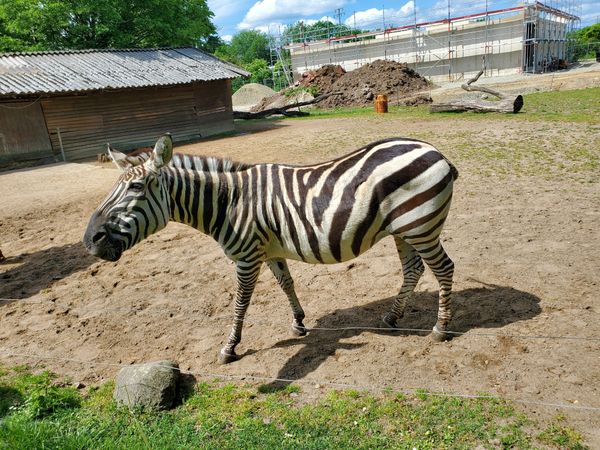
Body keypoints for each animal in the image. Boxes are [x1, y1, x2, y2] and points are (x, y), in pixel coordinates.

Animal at [84, 134, 458, 362]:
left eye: (136, 187)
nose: (89, 241)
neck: (228, 203)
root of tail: (436, 151)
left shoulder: (247, 256)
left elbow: (241, 303)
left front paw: (230, 347)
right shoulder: (271, 251)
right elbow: (286, 284)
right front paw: (299, 322)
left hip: (421, 226)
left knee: (443, 269)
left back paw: (441, 328)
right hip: (404, 230)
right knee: (413, 270)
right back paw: (393, 317)